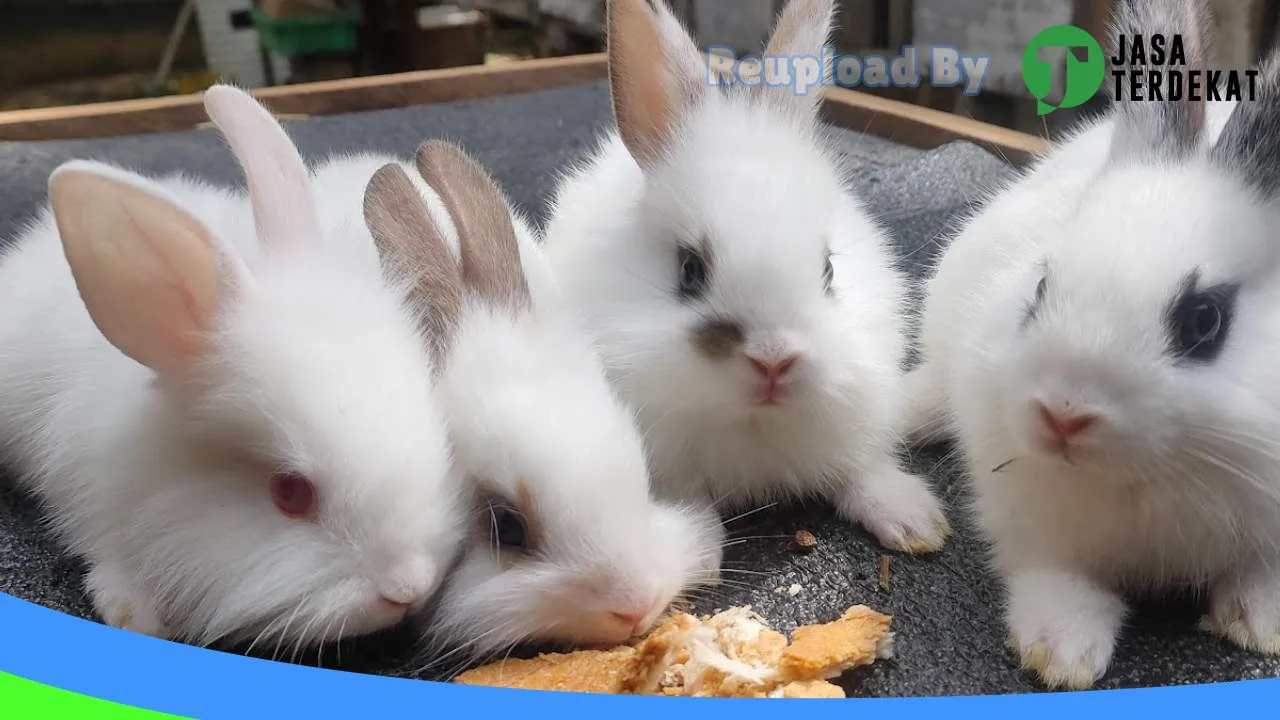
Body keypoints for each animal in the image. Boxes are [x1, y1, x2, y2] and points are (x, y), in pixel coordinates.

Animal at [540, 0, 949, 554]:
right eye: (690, 270)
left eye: (829, 269)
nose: (775, 361)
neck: (754, 422)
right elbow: (691, 501)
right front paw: (697, 552)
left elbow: (859, 470)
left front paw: (915, 522)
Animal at [907, 0, 1280, 690]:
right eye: (1041, 285)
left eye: (1204, 321)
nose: (1064, 415)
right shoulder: (1041, 530)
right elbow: (1061, 583)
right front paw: (1062, 655)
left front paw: (1261, 624)